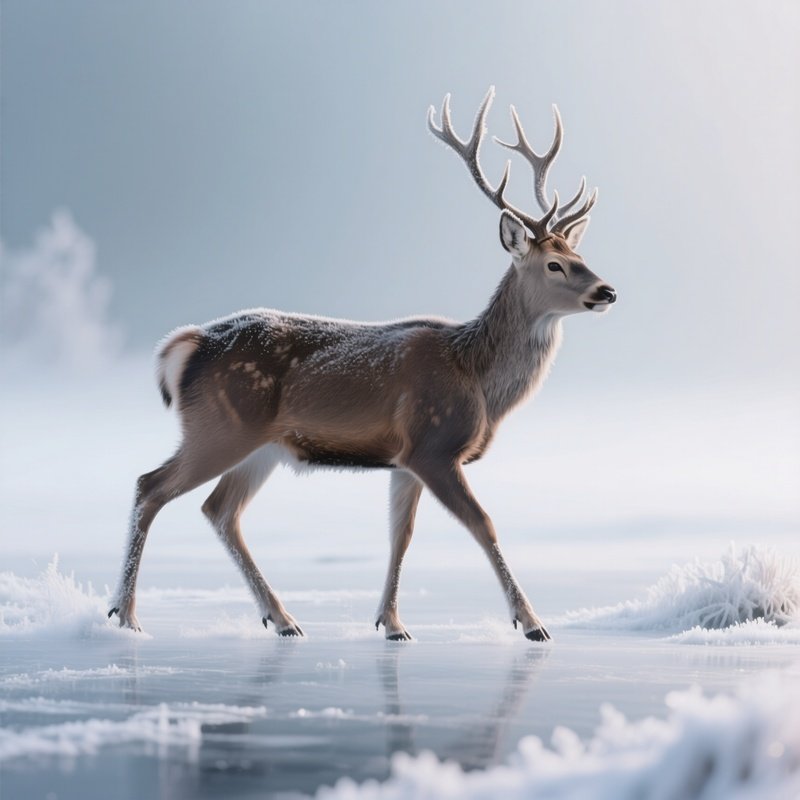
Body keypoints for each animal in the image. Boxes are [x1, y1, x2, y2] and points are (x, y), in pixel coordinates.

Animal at [109, 87, 616, 642]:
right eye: (554, 264)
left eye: (582, 255)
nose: (607, 291)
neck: (478, 379)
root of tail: (186, 344)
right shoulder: (435, 445)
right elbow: (483, 523)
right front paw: (530, 622)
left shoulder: (405, 458)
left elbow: (401, 534)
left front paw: (391, 623)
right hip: (219, 427)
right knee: (150, 486)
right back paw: (125, 614)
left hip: (258, 446)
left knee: (219, 509)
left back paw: (282, 618)